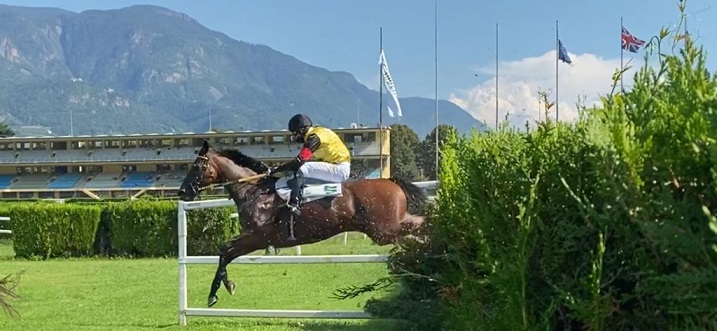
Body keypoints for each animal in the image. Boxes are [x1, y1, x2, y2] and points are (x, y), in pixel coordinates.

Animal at [176, 140, 428, 308]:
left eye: (196, 167)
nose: (182, 192)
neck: (256, 191)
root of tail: (391, 182)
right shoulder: (256, 239)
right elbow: (225, 252)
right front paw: (226, 286)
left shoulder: (258, 238)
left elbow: (226, 249)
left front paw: (216, 292)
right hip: (389, 228)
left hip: (384, 230)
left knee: (421, 226)